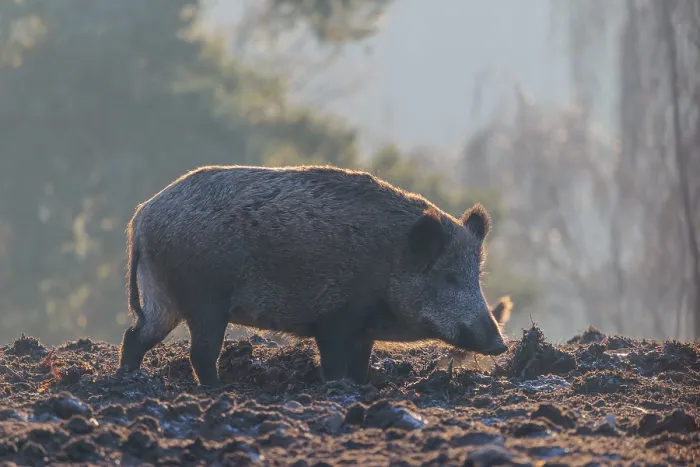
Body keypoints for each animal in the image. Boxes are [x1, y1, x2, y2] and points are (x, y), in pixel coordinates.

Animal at [118, 165, 509, 387]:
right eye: (449, 278)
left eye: (476, 276)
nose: (500, 345)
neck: (389, 263)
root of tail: (141, 218)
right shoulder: (336, 318)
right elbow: (333, 363)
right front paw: (338, 388)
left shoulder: (364, 331)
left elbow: (360, 364)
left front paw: (364, 387)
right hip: (206, 299)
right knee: (199, 352)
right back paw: (219, 390)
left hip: (162, 296)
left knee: (135, 335)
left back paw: (128, 377)